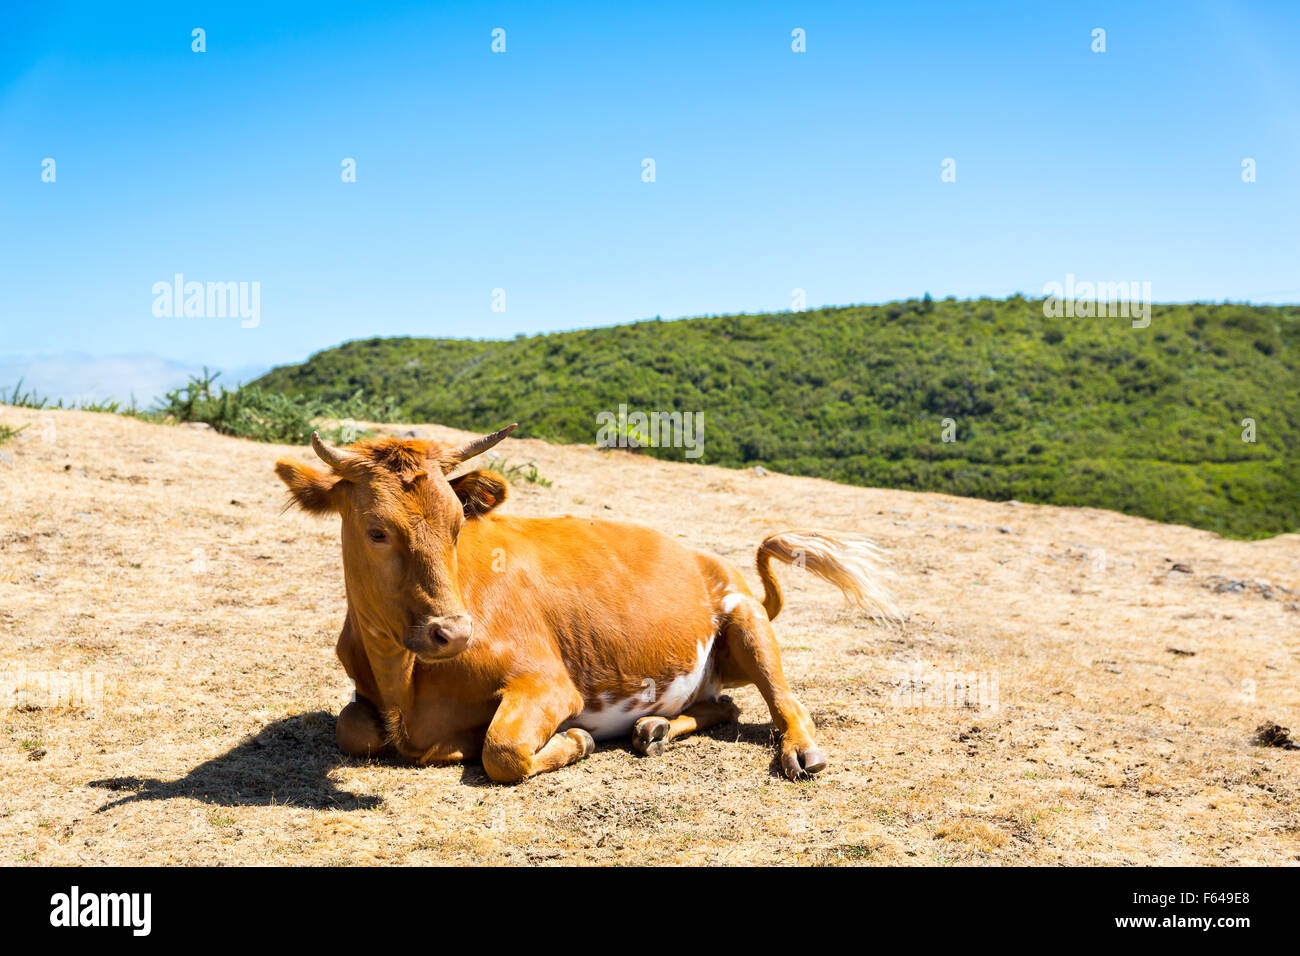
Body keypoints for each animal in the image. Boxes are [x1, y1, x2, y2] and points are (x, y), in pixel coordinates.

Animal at [275, 425, 898, 783]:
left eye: (456, 525)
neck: (403, 680)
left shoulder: (548, 682)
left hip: (747, 621)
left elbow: (501, 751)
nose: (453, 632)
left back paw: (801, 752)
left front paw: (573, 739)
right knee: (723, 705)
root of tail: (701, 555)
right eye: (377, 531)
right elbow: (351, 728)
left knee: (785, 701)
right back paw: (655, 728)